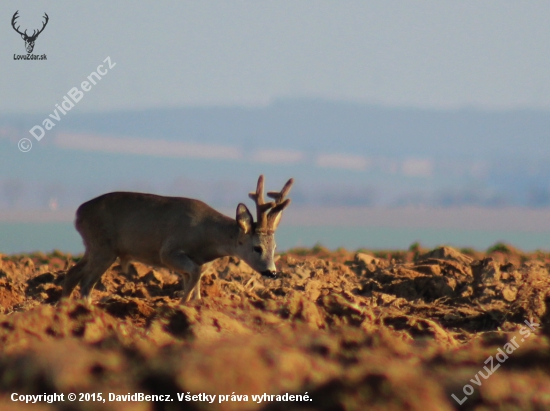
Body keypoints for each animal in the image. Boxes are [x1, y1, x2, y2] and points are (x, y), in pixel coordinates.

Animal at [63, 175, 296, 304]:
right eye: (257, 248)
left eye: (275, 247)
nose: (272, 272)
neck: (208, 238)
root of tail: (78, 213)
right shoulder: (168, 251)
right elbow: (195, 273)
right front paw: (181, 305)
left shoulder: (200, 261)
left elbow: (195, 281)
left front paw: (195, 304)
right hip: (103, 248)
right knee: (86, 284)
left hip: (92, 246)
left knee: (72, 273)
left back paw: (63, 308)